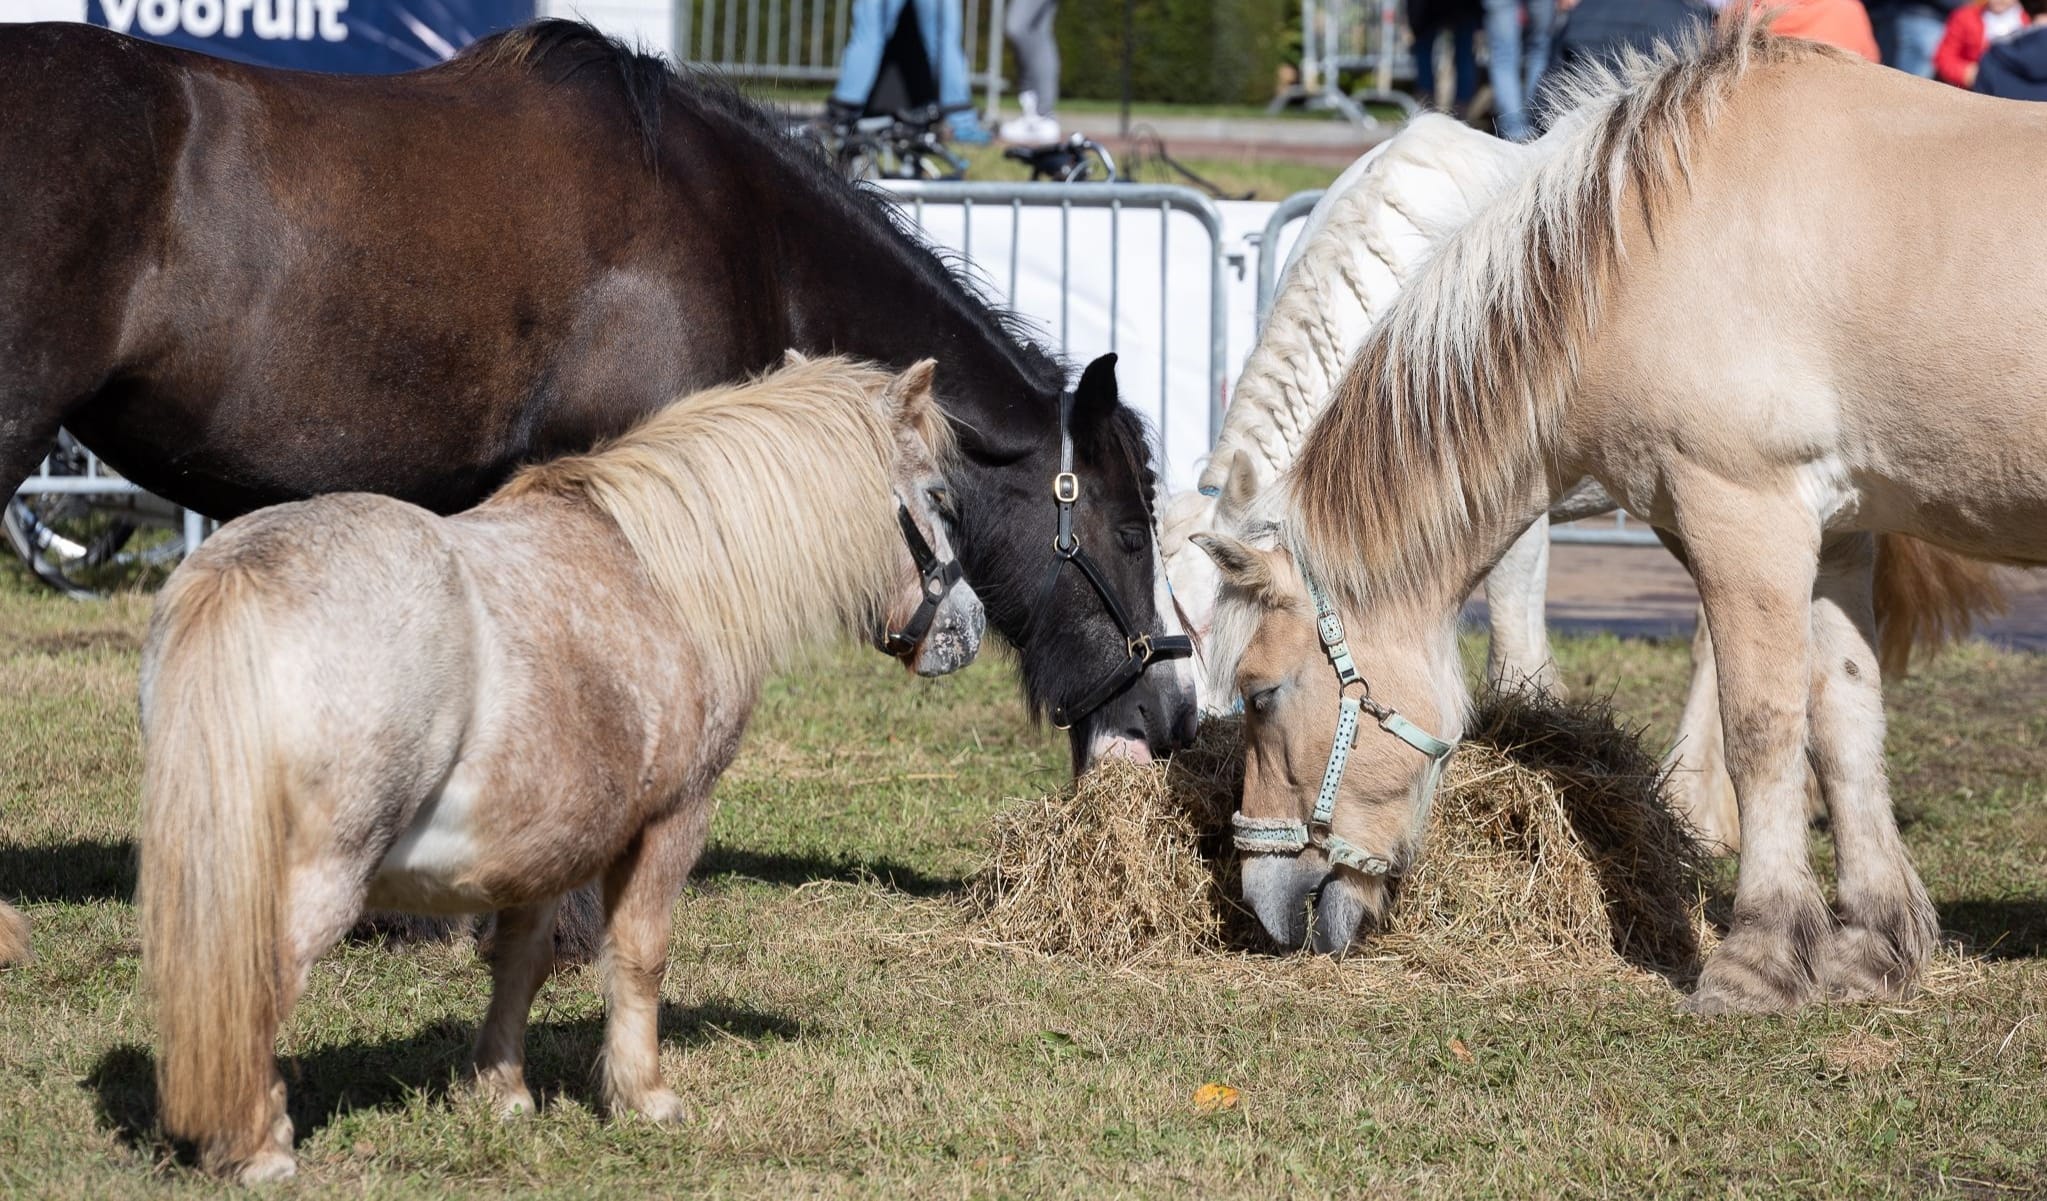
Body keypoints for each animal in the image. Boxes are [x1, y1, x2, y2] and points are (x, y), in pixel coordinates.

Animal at [138, 351, 982, 1178]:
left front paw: (502, 1092)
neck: (661, 576)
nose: (967, 627)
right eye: (936, 496)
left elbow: (521, 961)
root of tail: (241, 574)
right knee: (255, 981)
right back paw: (259, 1147)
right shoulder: (672, 818)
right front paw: (644, 1096)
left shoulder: (550, 841)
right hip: (319, 870)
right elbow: (640, 956)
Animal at [1195, 21, 2038, 1014]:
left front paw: (1755, 959)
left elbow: (1762, 725)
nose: (1263, 902)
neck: (1645, 237)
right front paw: (1870, 946)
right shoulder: (1835, 531)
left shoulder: (1740, 511)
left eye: (1259, 694)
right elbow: (1843, 721)